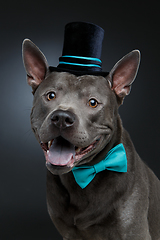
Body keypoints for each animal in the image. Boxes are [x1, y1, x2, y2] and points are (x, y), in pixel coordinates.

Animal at [22, 22, 160, 238]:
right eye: (50, 95)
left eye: (93, 102)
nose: (62, 118)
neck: (83, 176)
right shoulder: (69, 234)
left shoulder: (134, 232)